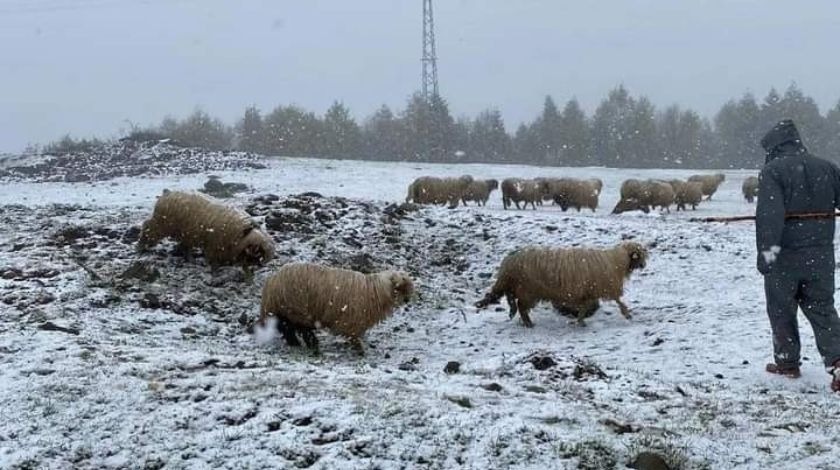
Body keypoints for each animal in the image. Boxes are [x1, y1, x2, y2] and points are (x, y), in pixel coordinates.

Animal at [256, 262, 414, 354]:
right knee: (293, 327)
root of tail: (272, 281)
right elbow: (354, 336)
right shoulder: (353, 320)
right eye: (399, 287)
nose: (407, 300)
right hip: (295, 307)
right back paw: (308, 343)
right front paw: (359, 348)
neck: (376, 291)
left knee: (286, 326)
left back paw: (298, 342)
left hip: (288, 309)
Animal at [472, 242, 648, 326]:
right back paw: (529, 324)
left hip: (521, 288)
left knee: (515, 303)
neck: (617, 261)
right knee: (522, 307)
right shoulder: (604, 286)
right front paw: (627, 313)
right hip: (528, 290)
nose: (644, 265)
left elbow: (585, 307)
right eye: (639, 255)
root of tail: (508, 262)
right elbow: (618, 300)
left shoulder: (589, 291)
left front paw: (580, 321)